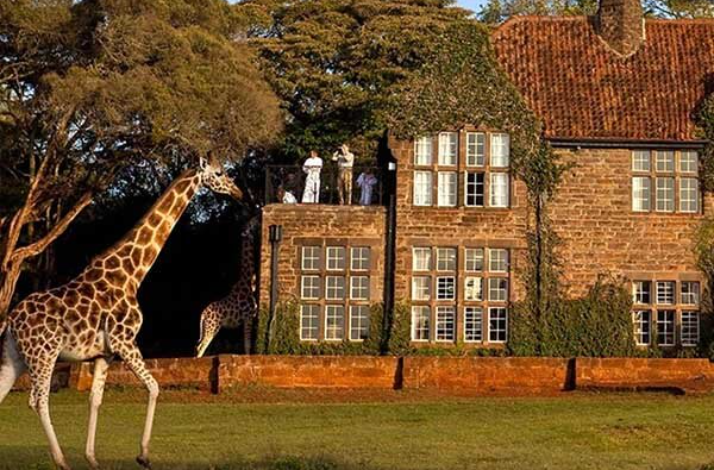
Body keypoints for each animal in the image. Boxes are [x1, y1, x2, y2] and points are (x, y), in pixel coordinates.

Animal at [0, 154, 243, 470]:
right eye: (220, 172)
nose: (238, 192)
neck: (132, 273)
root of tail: (11, 320)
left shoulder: (105, 354)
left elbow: (95, 400)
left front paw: (92, 458)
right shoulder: (125, 341)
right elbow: (154, 387)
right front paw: (143, 455)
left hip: (15, 357)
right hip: (44, 354)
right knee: (38, 400)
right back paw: (61, 460)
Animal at [195, 215, 260, 357]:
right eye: (249, 224)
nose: (256, 217)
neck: (247, 280)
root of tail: (203, 313)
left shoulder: (249, 318)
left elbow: (246, 343)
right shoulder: (248, 316)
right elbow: (247, 344)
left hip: (211, 327)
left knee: (199, 346)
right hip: (212, 326)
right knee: (201, 347)